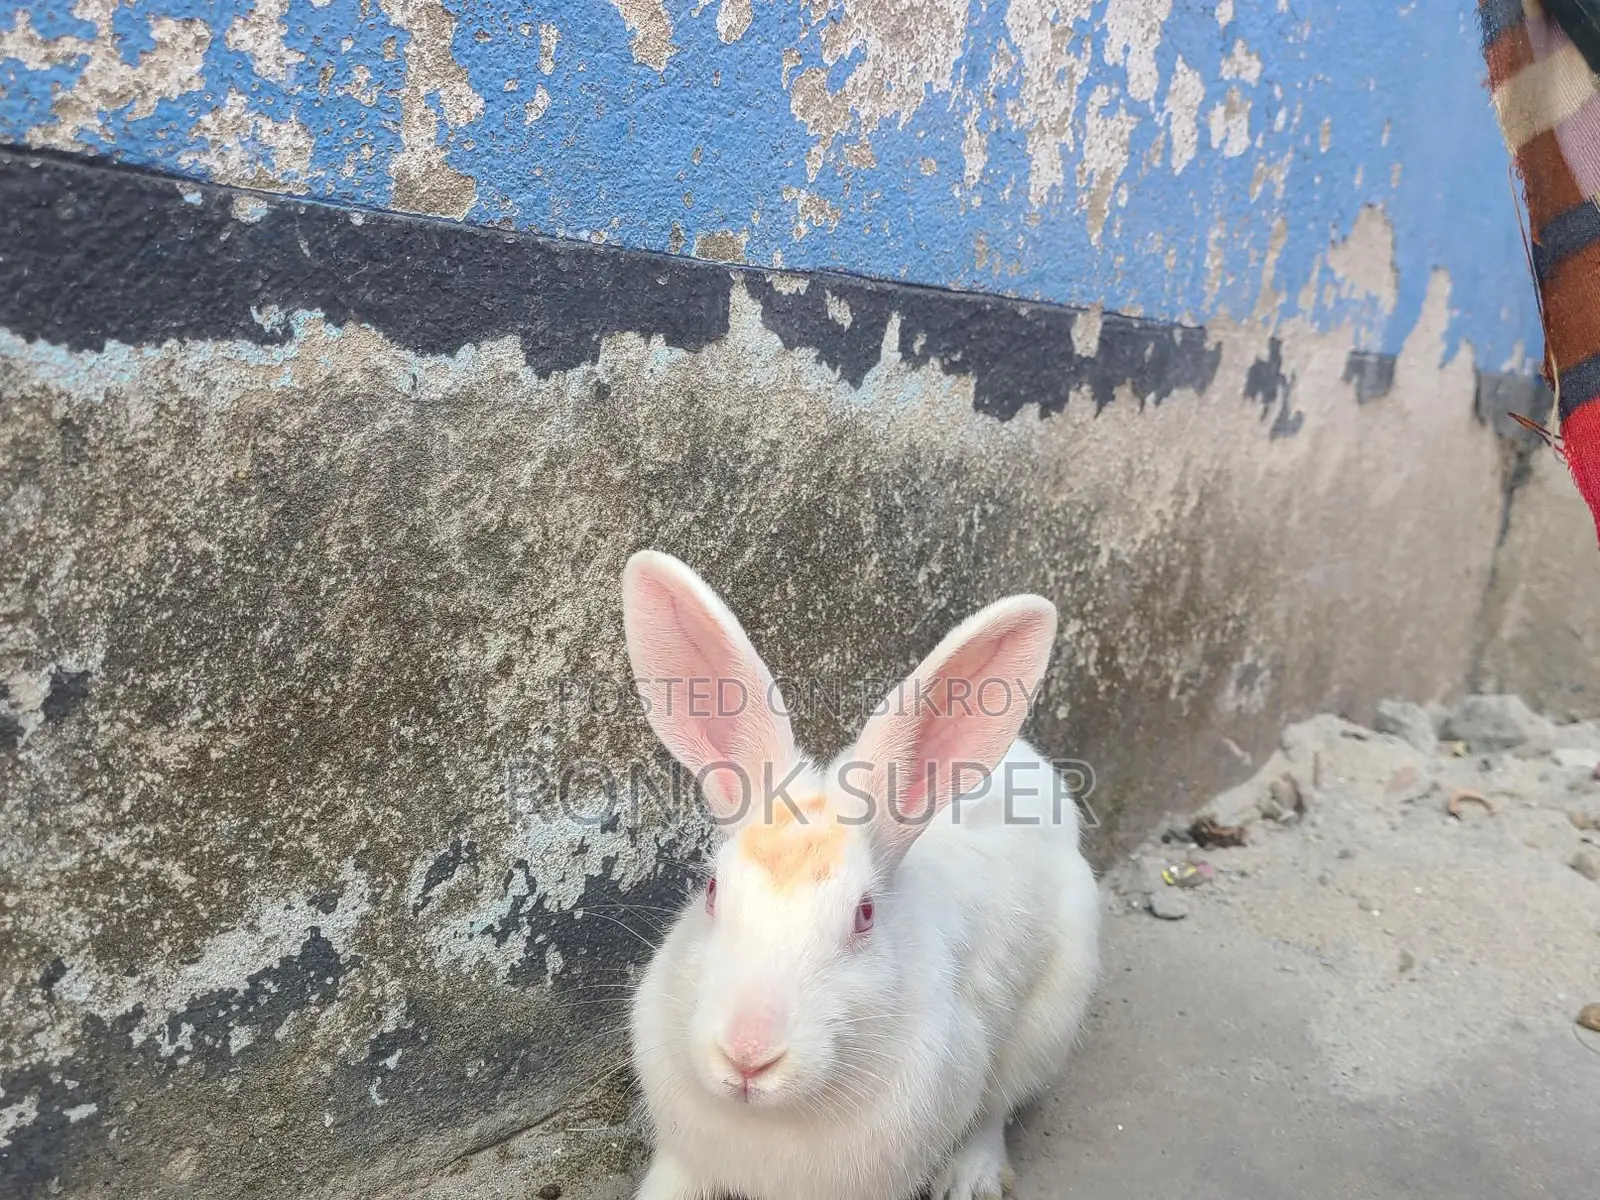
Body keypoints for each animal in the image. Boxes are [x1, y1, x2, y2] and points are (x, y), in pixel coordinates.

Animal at [619, 549, 1100, 1200]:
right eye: (713, 892)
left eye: (864, 915)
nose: (748, 1055)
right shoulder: (685, 1159)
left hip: (1047, 1017)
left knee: (996, 1108)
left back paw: (971, 1179)